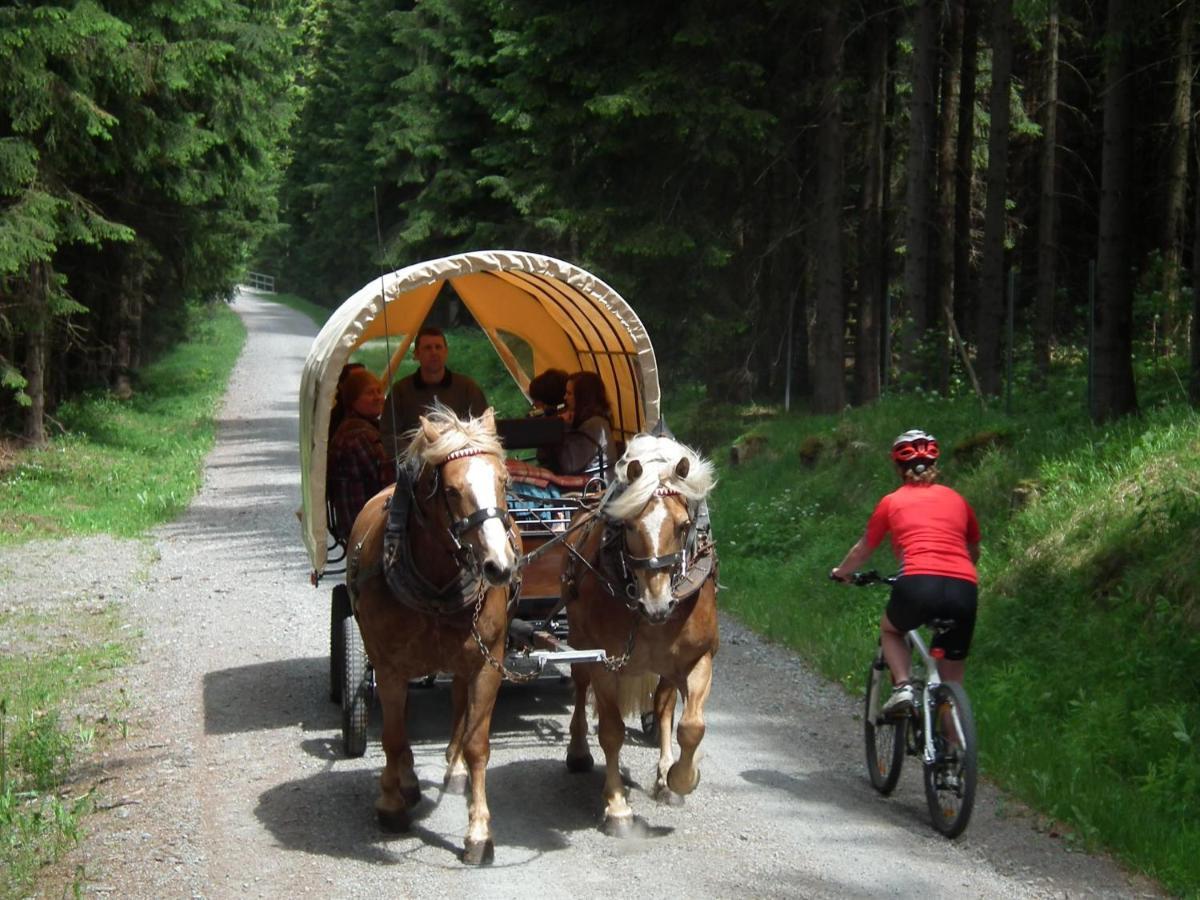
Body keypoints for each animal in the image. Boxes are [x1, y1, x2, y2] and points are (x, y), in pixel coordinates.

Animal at [345, 408, 518, 868]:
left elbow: (478, 744)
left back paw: (453, 770)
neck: (439, 587)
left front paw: (479, 832)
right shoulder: (388, 667)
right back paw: (404, 781)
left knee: (458, 706)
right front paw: (391, 802)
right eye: (453, 490)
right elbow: (393, 735)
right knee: (401, 722)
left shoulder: (486, 663)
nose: (499, 566)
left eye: (503, 481)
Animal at [559, 434, 715, 835]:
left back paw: (664, 774)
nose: (656, 605)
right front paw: (617, 807)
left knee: (663, 707)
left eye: (682, 525)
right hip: (579, 643)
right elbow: (611, 732)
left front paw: (680, 779)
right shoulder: (604, 663)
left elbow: (691, 726)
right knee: (579, 687)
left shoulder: (698, 658)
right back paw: (578, 751)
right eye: (629, 526)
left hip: (665, 668)